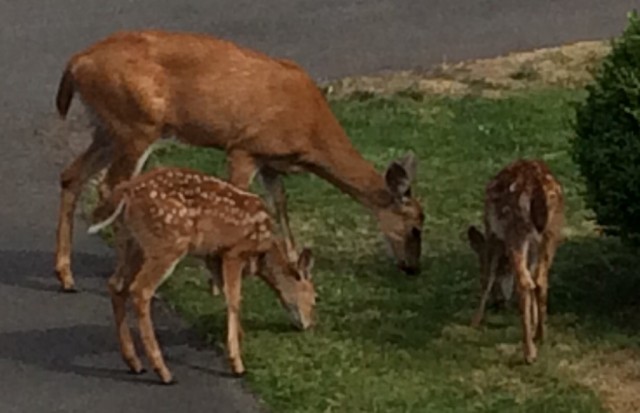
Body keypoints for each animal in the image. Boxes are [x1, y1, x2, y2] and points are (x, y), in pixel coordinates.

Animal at [53, 29, 424, 292]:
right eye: (416, 226)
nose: (413, 269)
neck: (310, 127)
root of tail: (76, 62)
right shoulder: (244, 147)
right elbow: (239, 196)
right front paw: (221, 280)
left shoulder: (272, 162)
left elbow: (281, 206)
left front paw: (292, 263)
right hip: (137, 125)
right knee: (110, 185)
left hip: (108, 127)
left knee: (72, 174)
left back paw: (66, 275)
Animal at [89, 165, 318, 384]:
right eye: (315, 297)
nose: (307, 325)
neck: (264, 250)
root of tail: (127, 191)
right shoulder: (235, 251)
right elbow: (234, 299)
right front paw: (237, 363)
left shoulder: (212, 256)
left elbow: (226, 293)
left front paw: (239, 336)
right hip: (168, 243)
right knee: (140, 290)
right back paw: (163, 372)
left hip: (133, 243)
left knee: (116, 284)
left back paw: (134, 362)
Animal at [464, 159, 564, 362]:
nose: (498, 304)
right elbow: (532, 273)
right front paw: (533, 322)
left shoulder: (493, 235)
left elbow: (489, 276)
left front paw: (475, 321)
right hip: (551, 231)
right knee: (540, 279)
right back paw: (540, 335)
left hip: (515, 229)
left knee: (525, 282)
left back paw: (529, 353)